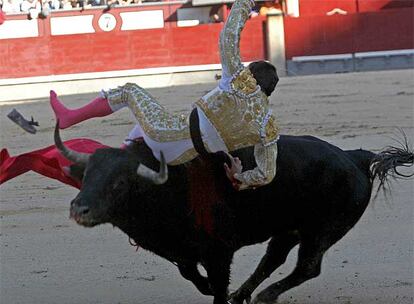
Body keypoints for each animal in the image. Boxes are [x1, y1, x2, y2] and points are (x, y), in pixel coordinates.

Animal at [54, 127, 410, 304]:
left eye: (119, 183)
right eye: (86, 176)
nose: (79, 209)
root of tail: (355, 156)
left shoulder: (219, 251)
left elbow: (213, 278)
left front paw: (220, 294)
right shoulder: (184, 250)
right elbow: (190, 273)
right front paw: (215, 291)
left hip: (323, 230)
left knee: (307, 267)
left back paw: (264, 296)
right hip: (289, 229)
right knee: (273, 259)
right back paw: (243, 295)